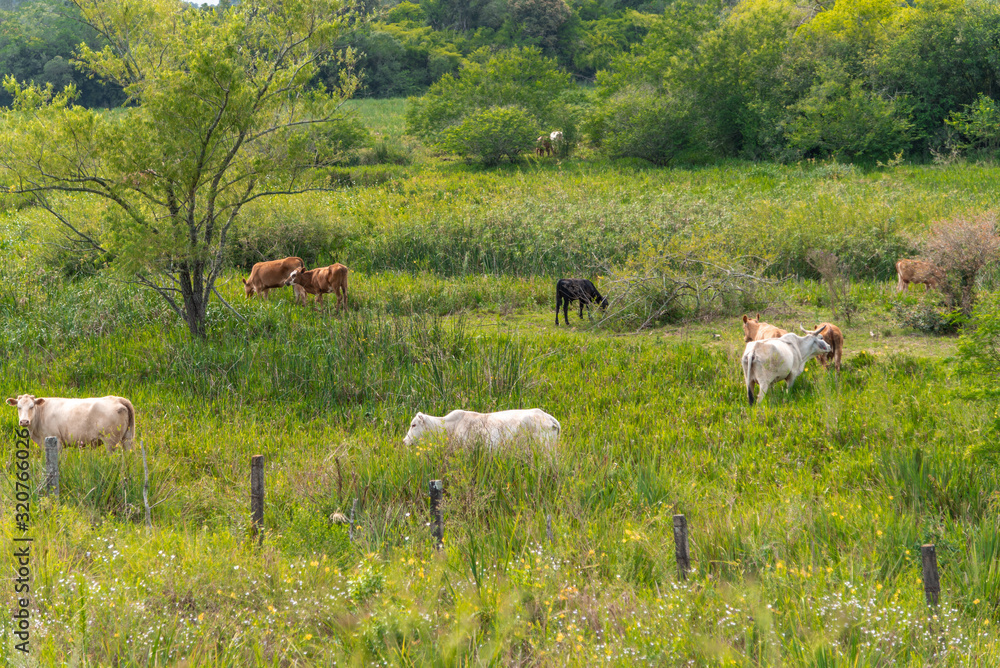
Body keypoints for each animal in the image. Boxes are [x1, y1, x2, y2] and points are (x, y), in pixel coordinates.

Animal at [6, 394, 136, 452]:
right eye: (18, 407)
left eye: (32, 406)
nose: (24, 421)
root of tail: (117, 398)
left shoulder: (56, 441)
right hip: (127, 438)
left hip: (110, 440)